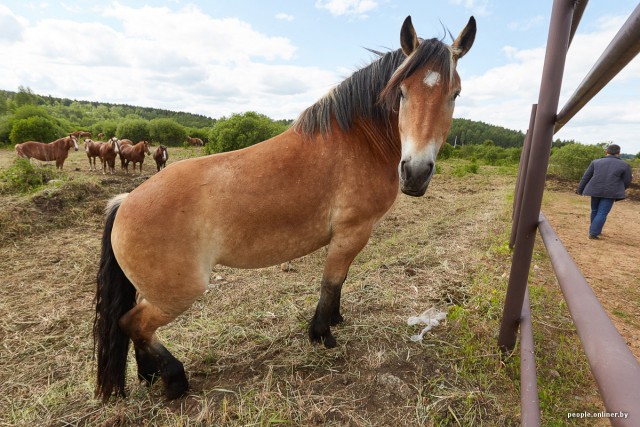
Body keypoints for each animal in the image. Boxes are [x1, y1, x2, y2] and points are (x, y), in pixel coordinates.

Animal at [94, 15, 476, 402]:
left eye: (455, 94)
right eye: (401, 91)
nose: (416, 173)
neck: (358, 143)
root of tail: (124, 203)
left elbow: (339, 282)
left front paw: (335, 320)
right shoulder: (351, 232)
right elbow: (331, 282)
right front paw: (322, 334)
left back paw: (150, 374)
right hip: (178, 293)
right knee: (134, 324)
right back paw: (174, 379)